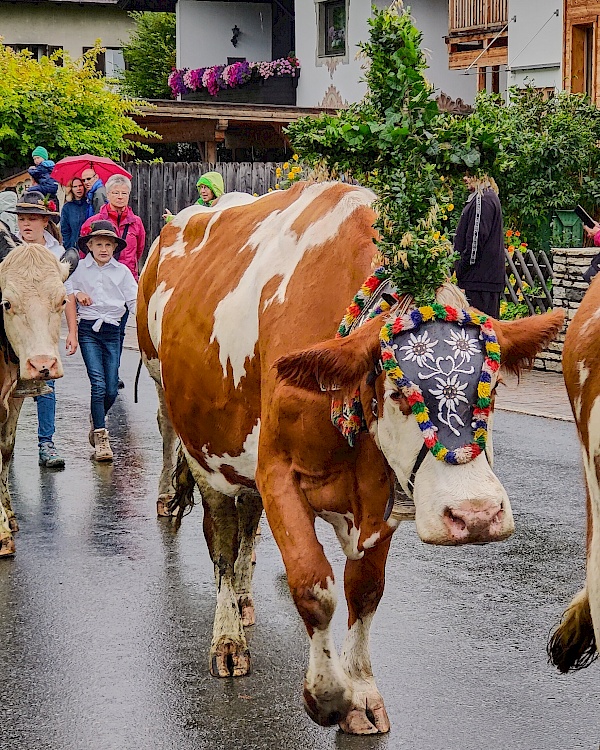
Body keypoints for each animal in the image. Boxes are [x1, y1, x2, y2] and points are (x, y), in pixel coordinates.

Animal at [138, 182, 564, 736]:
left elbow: (365, 592)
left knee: (245, 525)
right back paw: (228, 635)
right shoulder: (277, 472)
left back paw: (245, 602)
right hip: (191, 431)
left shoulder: (380, 499)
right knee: (222, 539)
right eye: (401, 394)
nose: (476, 516)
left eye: (489, 392)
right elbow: (312, 585)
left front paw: (361, 693)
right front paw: (327, 694)